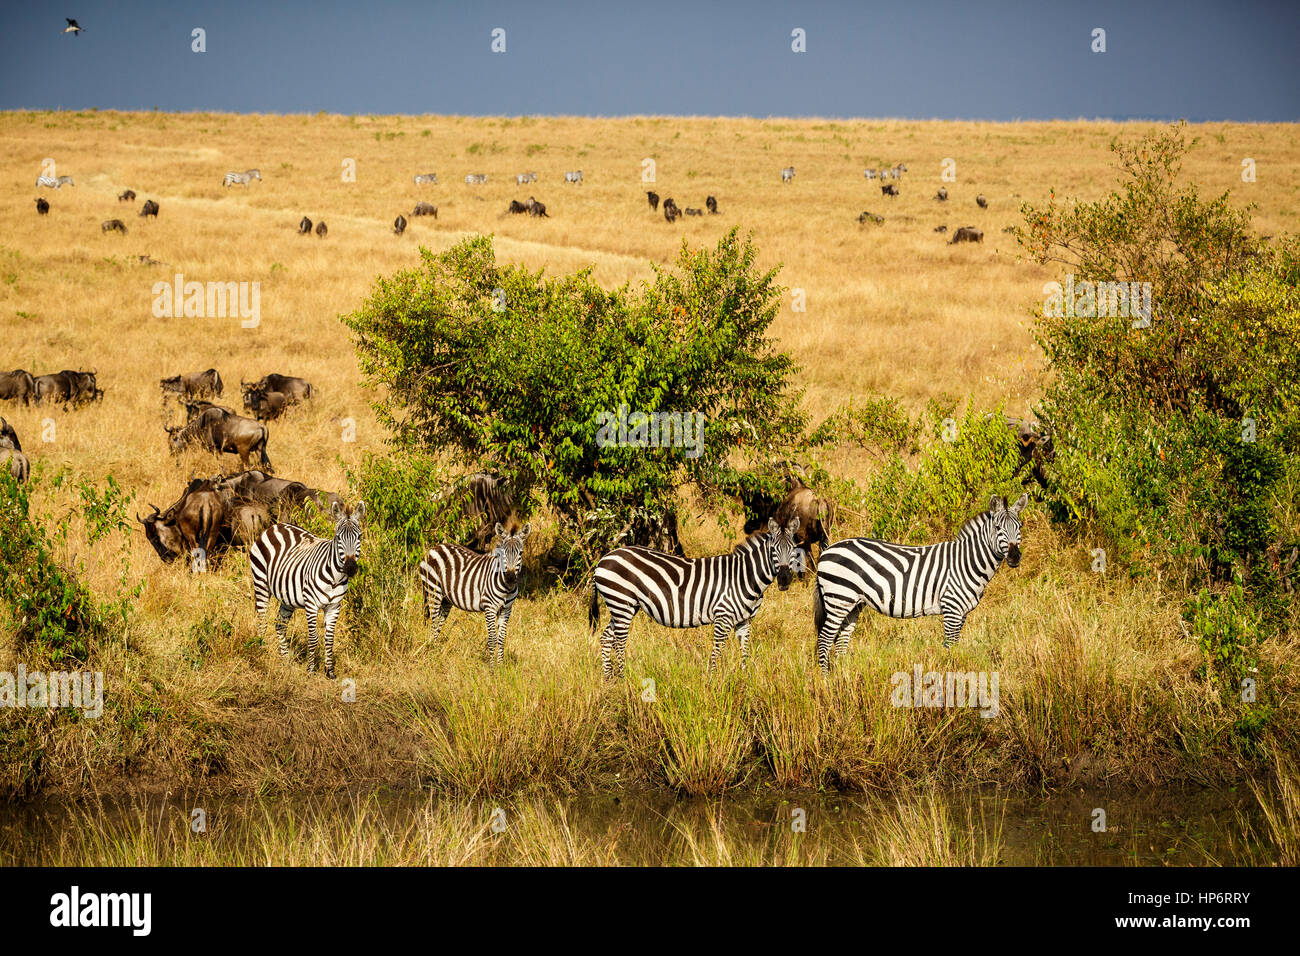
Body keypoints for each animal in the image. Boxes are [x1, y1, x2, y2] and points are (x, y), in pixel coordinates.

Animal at [249, 500, 366, 679]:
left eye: (359, 537)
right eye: (338, 537)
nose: (350, 568)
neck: (335, 578)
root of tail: (275, 526)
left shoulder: (334, 607)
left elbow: (329, 639)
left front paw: (330, 672)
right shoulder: (311, 605)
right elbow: (313, 638)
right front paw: (310, 670)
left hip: (287, 596)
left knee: (279, 625)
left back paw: (286, 660)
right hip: (260, 583)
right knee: (262, 621)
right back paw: (261, 651)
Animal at [418, 523, 531, 664]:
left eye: (520, 553)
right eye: (503, 553)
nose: (510, 578)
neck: (507, 588)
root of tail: (435, 547)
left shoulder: (506, 609)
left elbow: (501, 639)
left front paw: (500, 666)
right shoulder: (489, 607)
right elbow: (492, 639)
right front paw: (492, 668)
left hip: (446, 599)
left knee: (438, 624)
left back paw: (435, 652)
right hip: (433, 591)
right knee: (433, 624)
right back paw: (431, 655)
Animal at [589, 518, 804, 679]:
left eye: (794, 549)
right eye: (774, 550)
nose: (784, 580)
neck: (745, 576)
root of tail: (604, 559)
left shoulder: (745, 621)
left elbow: (745, 651)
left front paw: (745, 680)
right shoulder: (723, 617)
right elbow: (717, 651)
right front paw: (713, 682)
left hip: (623, 606)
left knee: (606, 637)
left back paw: (609, 680)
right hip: (621, 602)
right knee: (618, 641)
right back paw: (623, 679)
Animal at [812, 494, 1027, 671]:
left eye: (1019, 527)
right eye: (998, 528)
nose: (1015, 557)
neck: (966, 562)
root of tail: (827, 551)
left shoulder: (963, 613)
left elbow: (955, 645)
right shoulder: (952, 608)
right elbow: (949, 646)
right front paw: (949, 675)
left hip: (853, 604)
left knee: (841, 640)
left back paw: (844, 676)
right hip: (839, 598)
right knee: (824, 640)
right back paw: (826, 680)